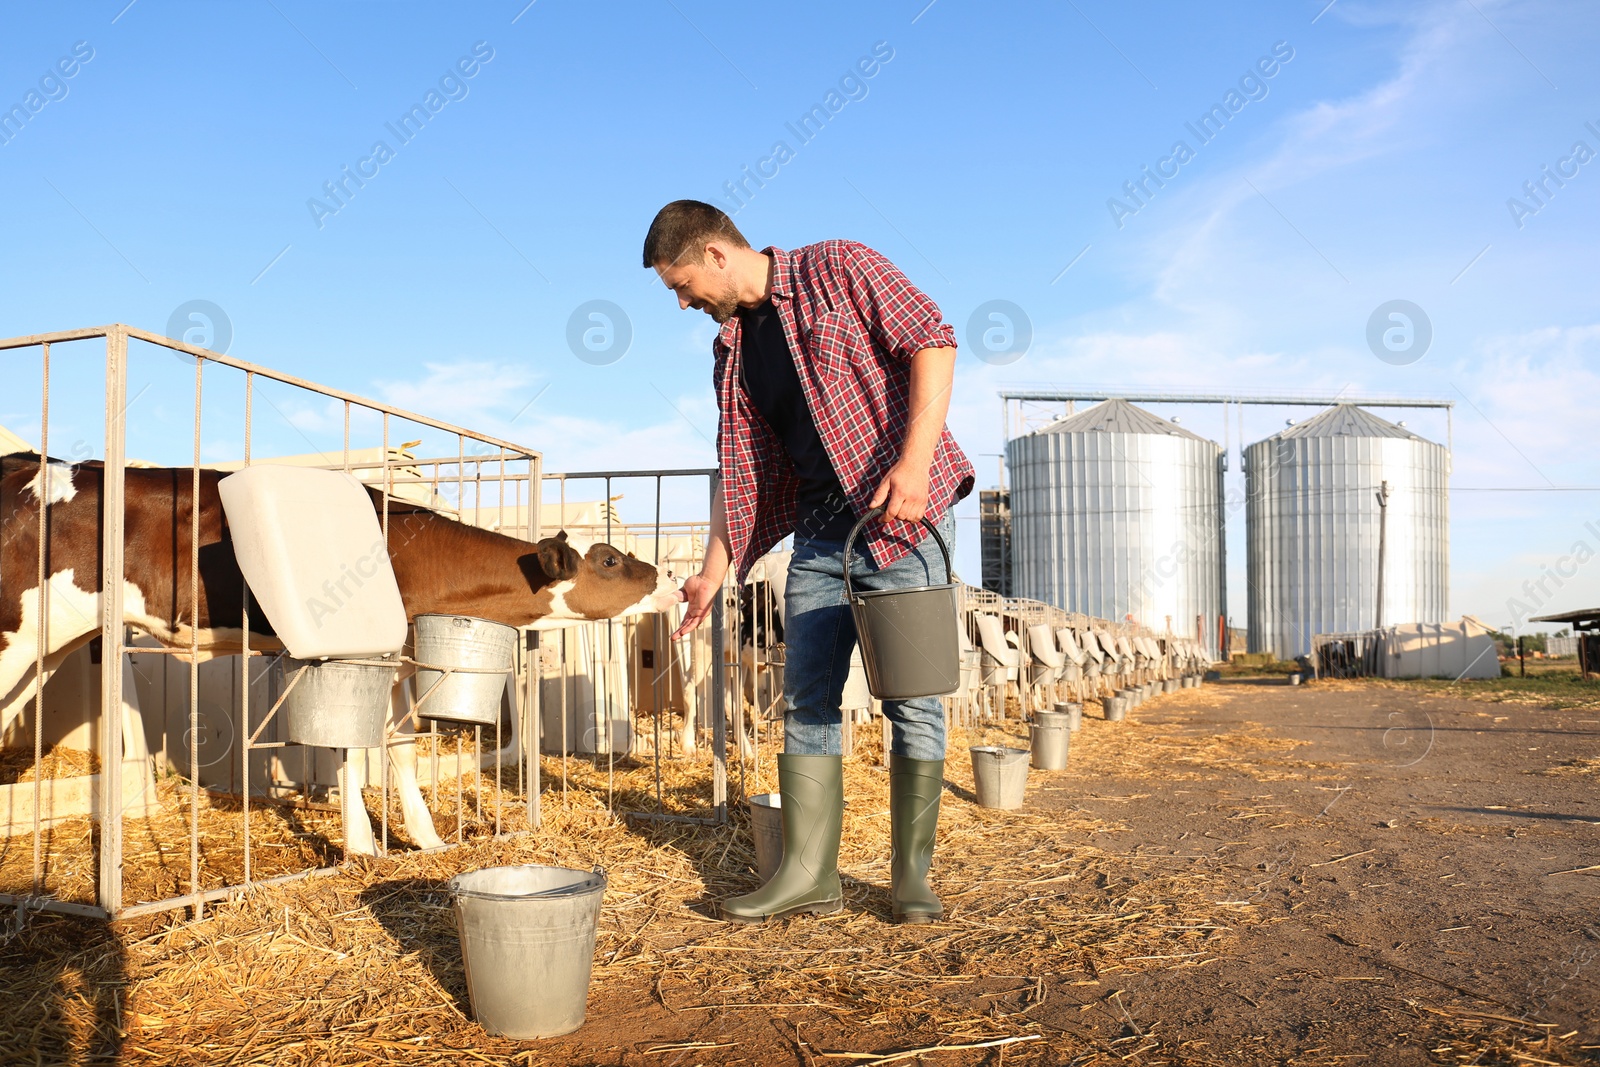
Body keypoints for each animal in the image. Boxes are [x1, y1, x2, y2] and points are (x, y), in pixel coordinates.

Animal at [0, 454, 678, 857]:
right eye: (609, 559)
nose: (671, 578)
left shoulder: (400, 653)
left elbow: (399, 743)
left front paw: (426, 840)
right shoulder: (361, 649)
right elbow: (355, 742)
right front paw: (362, 846)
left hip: (45, 648)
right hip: (19, 636)